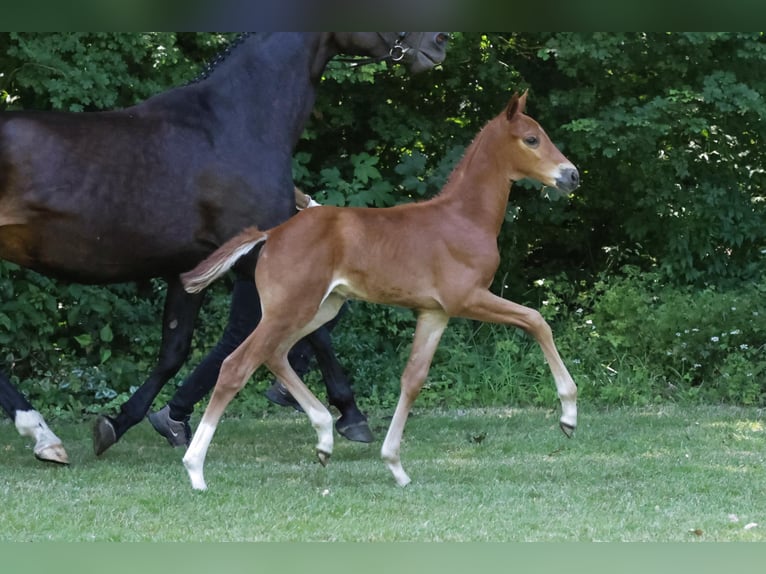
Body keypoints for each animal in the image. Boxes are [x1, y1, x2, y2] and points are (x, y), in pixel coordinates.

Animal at [0, 31, 452, 466]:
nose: (439, 43)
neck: (234, 123)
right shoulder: (258, 258)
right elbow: (319, 334)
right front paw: (351, 414)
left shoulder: (190, 268)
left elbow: (174, 352)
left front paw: (119, 423)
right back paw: (42, 435)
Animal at [177, 92, 580, 492]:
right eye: (532, 139)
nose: (572, 175)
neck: (464, 219)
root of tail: (271, 234)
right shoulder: (467, 298)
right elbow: (536, 320)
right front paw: (569, 415)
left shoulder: (435, 312)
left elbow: (413, 379)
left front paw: (395, 465)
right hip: (290, 309)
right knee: (237, 365)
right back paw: (195, 469)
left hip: (320, 308)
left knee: (275, 354)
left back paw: (324, 438)